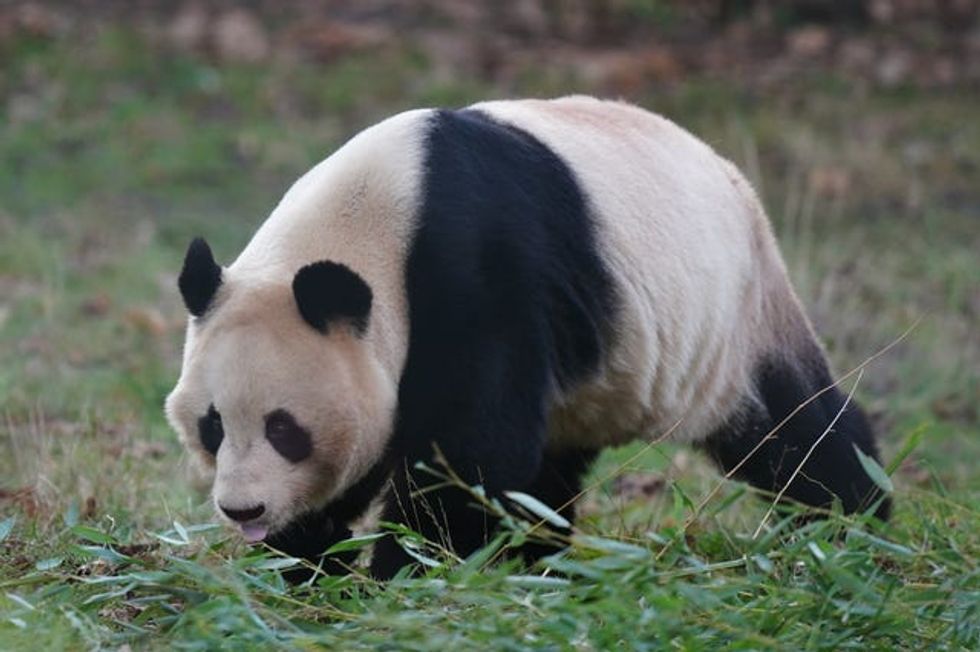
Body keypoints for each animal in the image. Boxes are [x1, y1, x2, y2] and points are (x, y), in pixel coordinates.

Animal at [167, 94, 888, 580]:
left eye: (285, 428)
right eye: (213, 425)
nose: (242, 509)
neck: (374, 217)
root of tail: (730, 175)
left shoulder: (477, 274)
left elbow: (470, 453)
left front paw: (408, 572)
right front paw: (307, 566)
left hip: (731, 318)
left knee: (795, 432)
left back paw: (855, 526)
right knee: (551, 470)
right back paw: (539, 564)